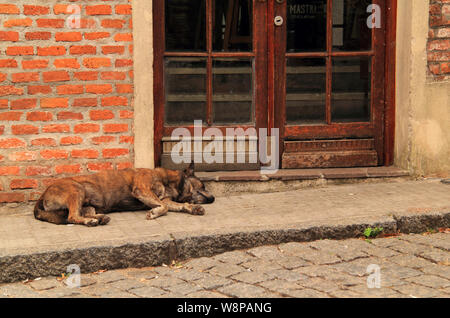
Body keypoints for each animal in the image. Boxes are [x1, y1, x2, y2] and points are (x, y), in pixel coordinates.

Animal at [34, 164, 214, 226]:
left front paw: (193, 208)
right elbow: (163, 207)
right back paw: (91, 221)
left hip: (88, 203)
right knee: (72, 217)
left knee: (81, 213)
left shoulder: (165, 199)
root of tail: (42, 195)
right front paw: (154, 213)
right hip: (76, 189)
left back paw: (100, 218)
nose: (213, 198)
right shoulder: (142, 190)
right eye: (203, 185)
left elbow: (177, 205)